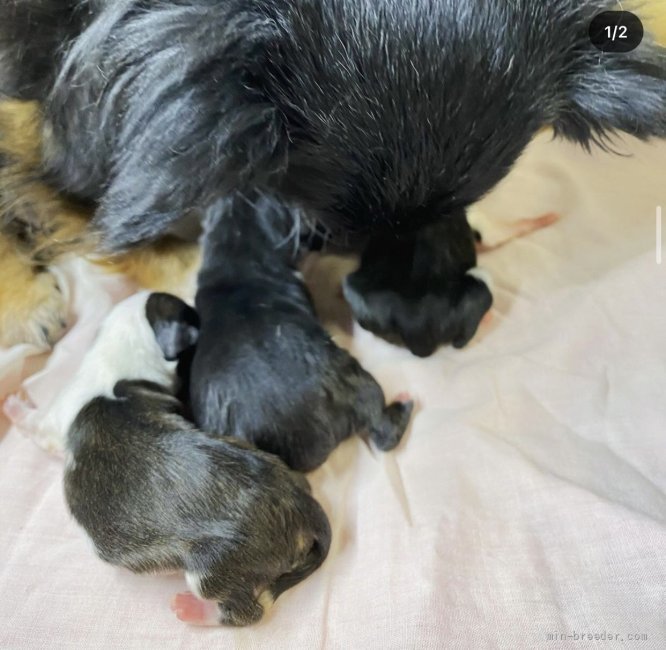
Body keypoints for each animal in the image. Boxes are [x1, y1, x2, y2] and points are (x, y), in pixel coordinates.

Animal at [5, 291, 331, 627]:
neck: (127, 356)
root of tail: (303, 505)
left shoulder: (52, 421)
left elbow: (35, 424)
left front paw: (14, 405)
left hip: (212, 568)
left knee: (244, 612)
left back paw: (191, 608)